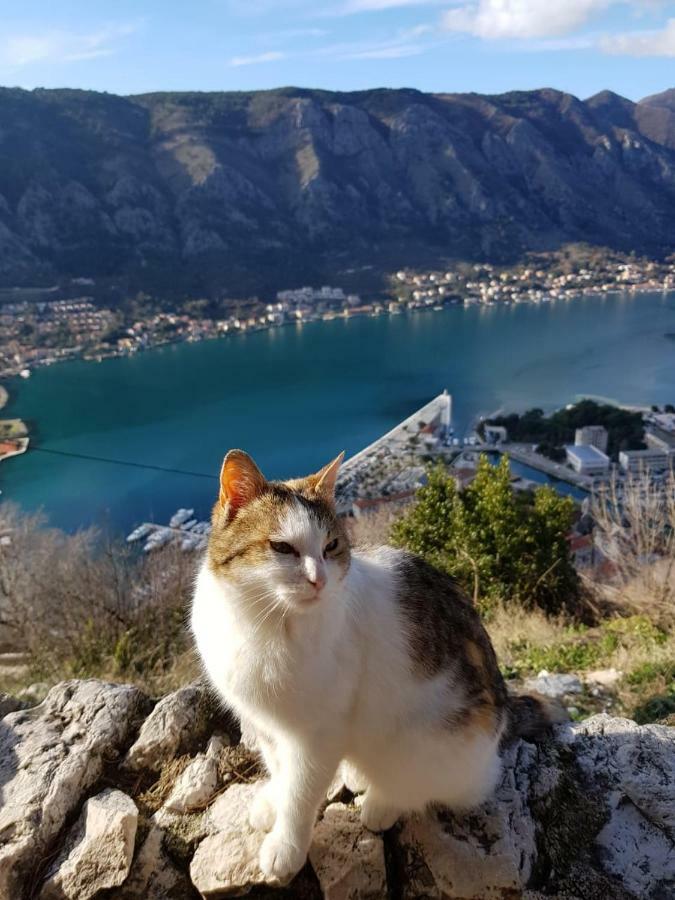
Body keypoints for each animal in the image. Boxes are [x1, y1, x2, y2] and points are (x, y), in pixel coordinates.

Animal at [190, 450, 556, 880]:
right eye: (282, 548)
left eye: (331, 545)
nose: (318, 580)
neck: (265, 623)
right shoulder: (265, 724)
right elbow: (280, 771)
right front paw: (272, 801)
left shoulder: (318, 735)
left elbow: (300, 793)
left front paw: (285, 846)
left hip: (429, 742)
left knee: (431, 786)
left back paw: (382, 802)